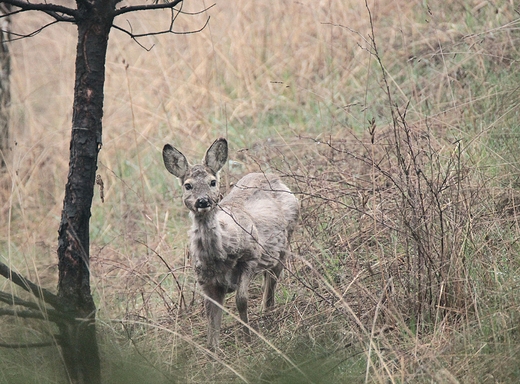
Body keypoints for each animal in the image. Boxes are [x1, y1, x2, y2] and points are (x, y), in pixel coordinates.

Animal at [162, 138, 300, 352]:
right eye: (187, 185)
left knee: (273, 276)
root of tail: (271, 176)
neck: (219, 255)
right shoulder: (206, 281)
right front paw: (213, 352)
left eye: (212, 182)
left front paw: (248, 341)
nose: (203, 201)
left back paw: (267, 312)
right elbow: (211, 317)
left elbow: (241, 301)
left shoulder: (250, 259)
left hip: (285, 242)